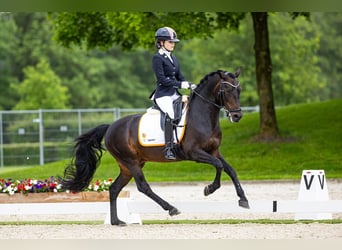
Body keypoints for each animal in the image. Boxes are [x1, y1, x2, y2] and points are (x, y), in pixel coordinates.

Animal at [62, 68, 248, 225]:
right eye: (226, 90)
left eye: (239, 90)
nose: (237, 116)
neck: (203, 116)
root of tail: (110, 127)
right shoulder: (195, 153)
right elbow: (218, 166)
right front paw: (209, 189)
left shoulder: (214, 151)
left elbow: (230, 170)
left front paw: (243, 200)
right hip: (131, 162)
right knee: (143, 186)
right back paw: (171, 209)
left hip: (128, 165)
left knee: (114, 189)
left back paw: (116, 221)